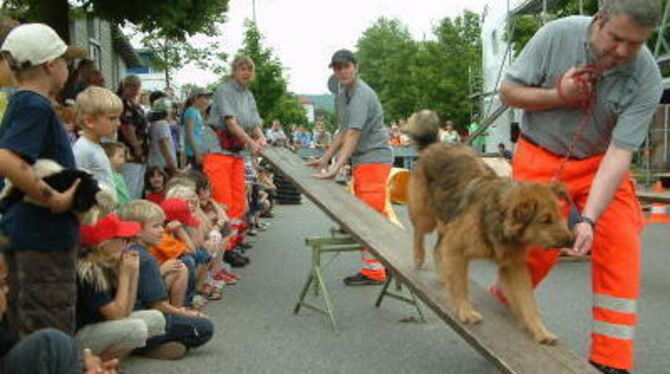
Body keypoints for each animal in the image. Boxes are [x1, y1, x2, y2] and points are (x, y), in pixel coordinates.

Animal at [402, 109, 576, 344]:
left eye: (559, 216)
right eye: (545, 220)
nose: (571, 240)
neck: (499, 219)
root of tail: (435, 144)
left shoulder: (514, 267)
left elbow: (528, 303)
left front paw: (540, 331)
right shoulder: (457, 249)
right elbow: (461, 284)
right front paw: (465, 311)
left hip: (447, 223)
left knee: (438, 248)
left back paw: (442, 273)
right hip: (426, 216)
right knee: (419, 234)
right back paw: (419, 257)